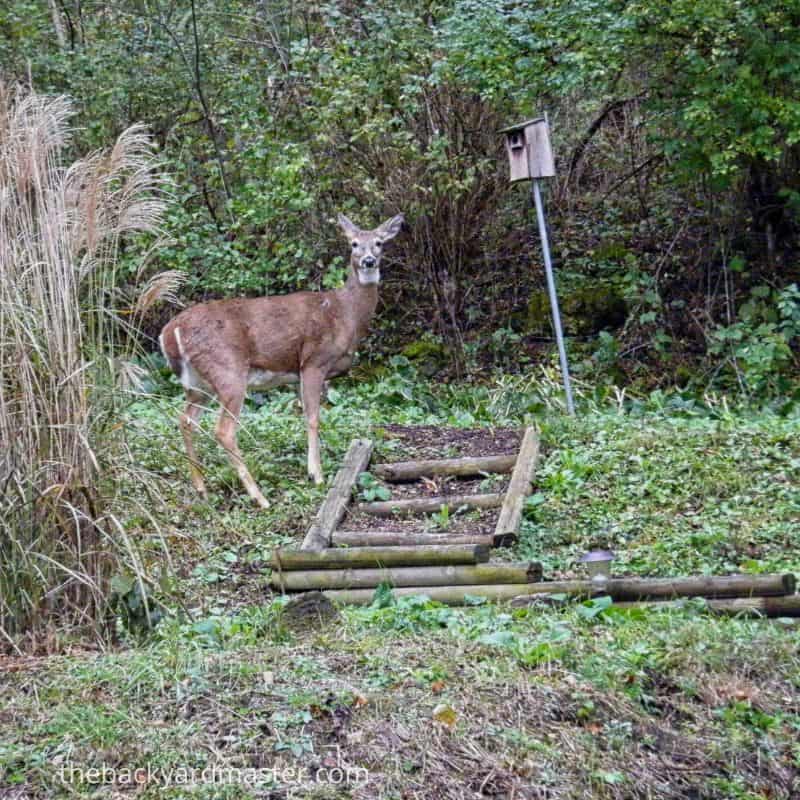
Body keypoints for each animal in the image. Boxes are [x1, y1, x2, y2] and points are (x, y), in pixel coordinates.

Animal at [159, 213, 404, 509]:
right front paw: (317, 475)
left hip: (198, 383)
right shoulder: (313, 361)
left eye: (379, 243)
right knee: (223, 430)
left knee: (186, 420)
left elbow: (304, 413)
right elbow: (313, 417)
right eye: (354, 243)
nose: (368, 260)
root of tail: (170, 331)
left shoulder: (299, 374)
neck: (345, 313)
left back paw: (201, 488)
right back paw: (260, 498)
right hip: (227, 371)